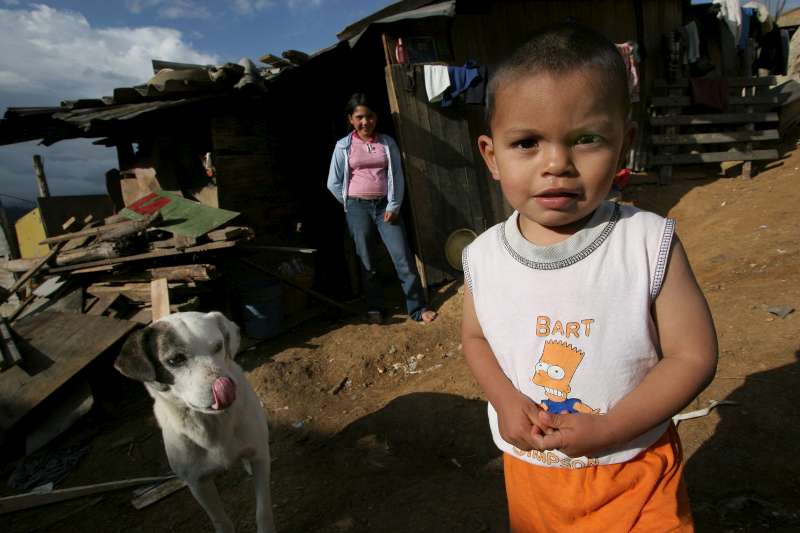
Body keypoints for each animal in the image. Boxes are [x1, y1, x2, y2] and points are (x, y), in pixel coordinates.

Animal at [112, 310, 276, 528]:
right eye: (175, 360)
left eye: (218, 346)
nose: (226, 387)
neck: (212, 424)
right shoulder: (198, 484)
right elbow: (220, 521)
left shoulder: (259, 457)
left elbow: (263, 511)